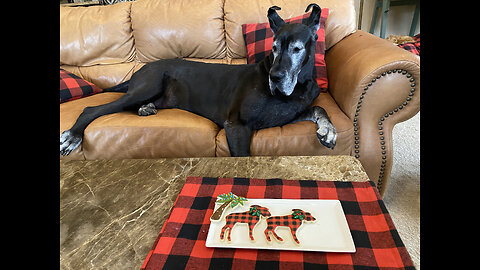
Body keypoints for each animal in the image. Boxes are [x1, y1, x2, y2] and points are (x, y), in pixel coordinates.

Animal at [60, 2, 338, 156]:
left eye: (297, 48)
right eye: (274, 47)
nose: (276, 77)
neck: (298, 87)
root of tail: (141, 69)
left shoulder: (289, 113)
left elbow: (319, 108)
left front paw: (328, 130)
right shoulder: (236, 125)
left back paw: (146, 109)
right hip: (147, 85)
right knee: (92, 109)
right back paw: (73, 135)